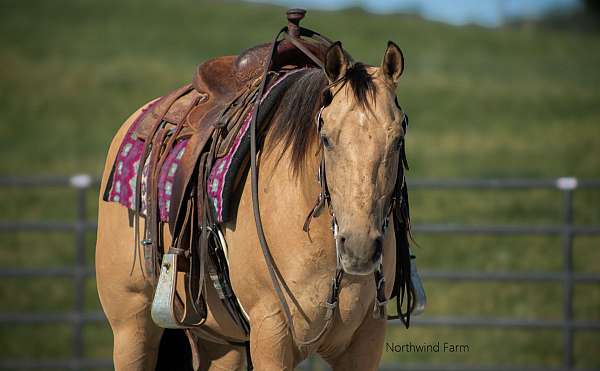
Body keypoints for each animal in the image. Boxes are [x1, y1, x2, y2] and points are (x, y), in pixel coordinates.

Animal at [96, 8, 424, 371]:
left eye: (398, 139)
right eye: (325, 137)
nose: (360, 248)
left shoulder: (365, 339)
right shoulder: (272, 331)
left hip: (220, 341)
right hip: (132, 325)